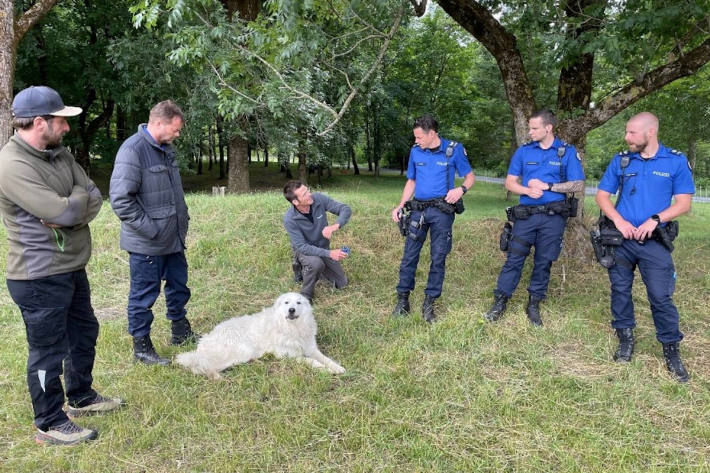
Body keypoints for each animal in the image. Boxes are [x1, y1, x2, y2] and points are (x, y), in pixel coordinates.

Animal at [177, 294, 346, 378]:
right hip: (241, 351)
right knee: (201, 367)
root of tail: (203, 344)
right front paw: (325, 370)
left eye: (298, 303)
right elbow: (312, 361)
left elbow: (326, 359)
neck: (293, 329)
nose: (291, 310)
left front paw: (338, 368)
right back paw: (216, 377)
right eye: (286, 303)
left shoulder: (311, 348)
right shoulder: (289, 355)